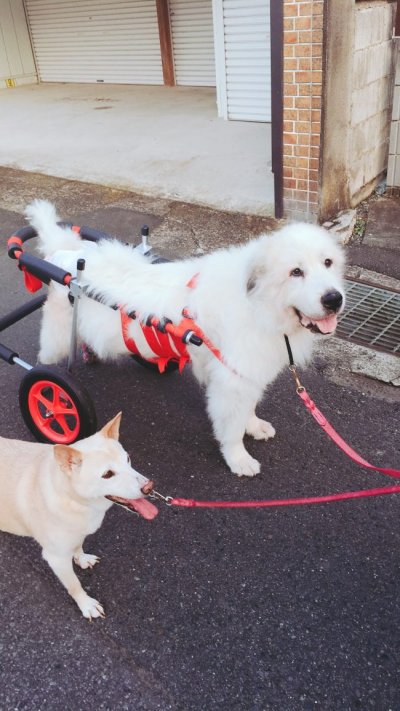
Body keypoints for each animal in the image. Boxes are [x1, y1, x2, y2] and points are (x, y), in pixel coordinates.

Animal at [0, 414, 157, 620]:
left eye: (128, 459)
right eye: (107, 474)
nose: (149, 487)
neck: (73, 500)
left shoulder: (78, 532)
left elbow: (78, 546)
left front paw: (82, 559)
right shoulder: (56, 558)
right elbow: (74, 585)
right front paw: (86, 604)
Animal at [25, 200, 346, 478]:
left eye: (328, 262)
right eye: (296, 272)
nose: (334, 299)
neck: (257, 302)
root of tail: (65, 252)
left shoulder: (247, 374)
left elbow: (249, 408)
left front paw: (254, 426)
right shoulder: (231, 381)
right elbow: (232, 427)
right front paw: (238, 458)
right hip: (57, 338)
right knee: (47, 370)